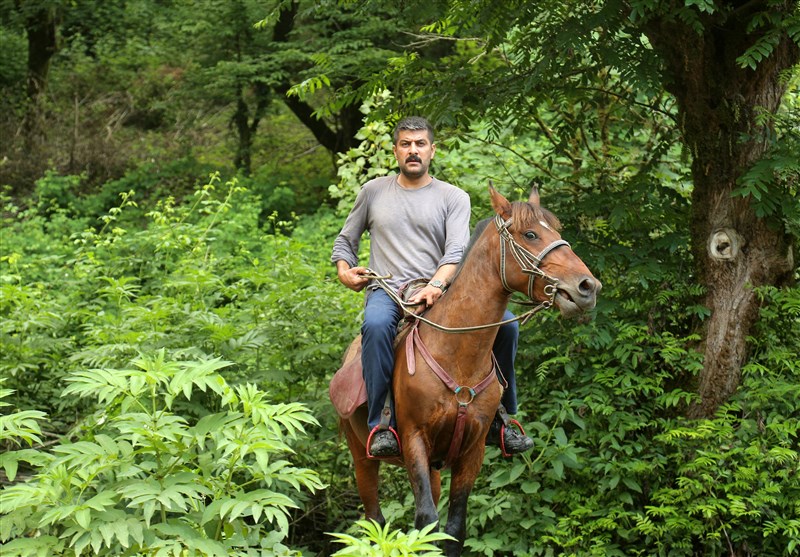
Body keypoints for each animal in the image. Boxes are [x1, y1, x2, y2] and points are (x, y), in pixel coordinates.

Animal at [338, 186, 600, 552]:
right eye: (530, 234)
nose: (587, 287)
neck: (457, 354)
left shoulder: (472, 450)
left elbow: (452, 528)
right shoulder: (414, 440)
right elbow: (426, 522)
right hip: (362, 458)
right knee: (374, 522)